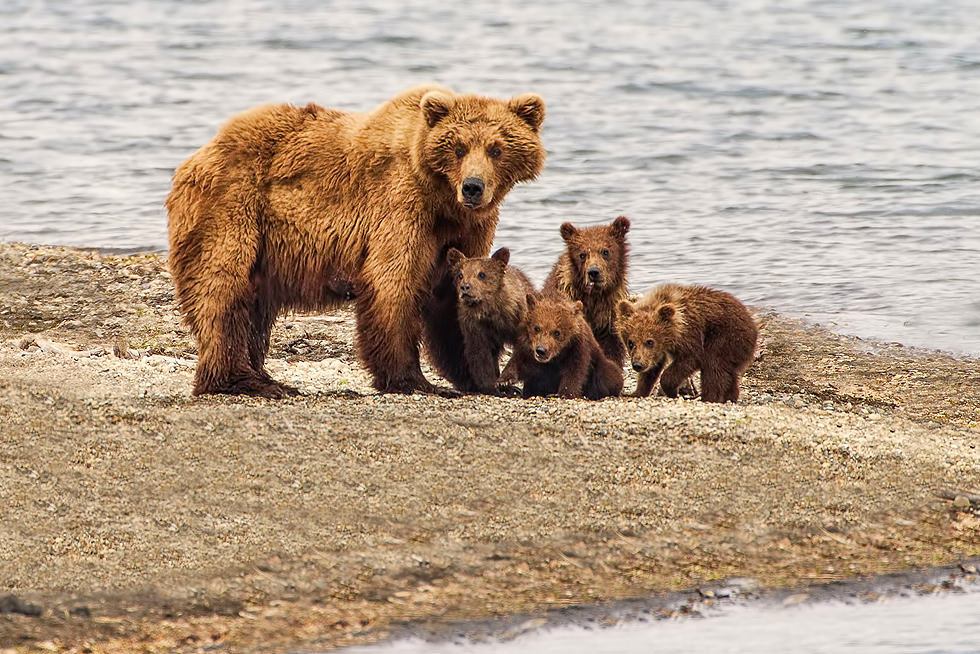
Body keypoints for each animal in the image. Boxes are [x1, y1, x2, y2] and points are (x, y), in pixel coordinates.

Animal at [445, 246, 535, 395]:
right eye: (460, 275)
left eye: (482, 274)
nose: (465, 287)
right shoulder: (475, 327)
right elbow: (480, 354)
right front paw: (490, 386)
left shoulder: (518, 318)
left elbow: (522, 349)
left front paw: (505, 380)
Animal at [615, 283, 758, 403]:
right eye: (630, 342)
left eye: (650, 342)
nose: (637, 365)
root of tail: (752, 322)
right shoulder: (658, 352)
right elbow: (652, 369)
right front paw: (637, 392)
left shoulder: (691, 334)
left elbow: (691, 358)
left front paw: (670, 390)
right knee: (728, 372)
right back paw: (730, 397)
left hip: (726, 337)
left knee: (713, 366)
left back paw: (709, 398)